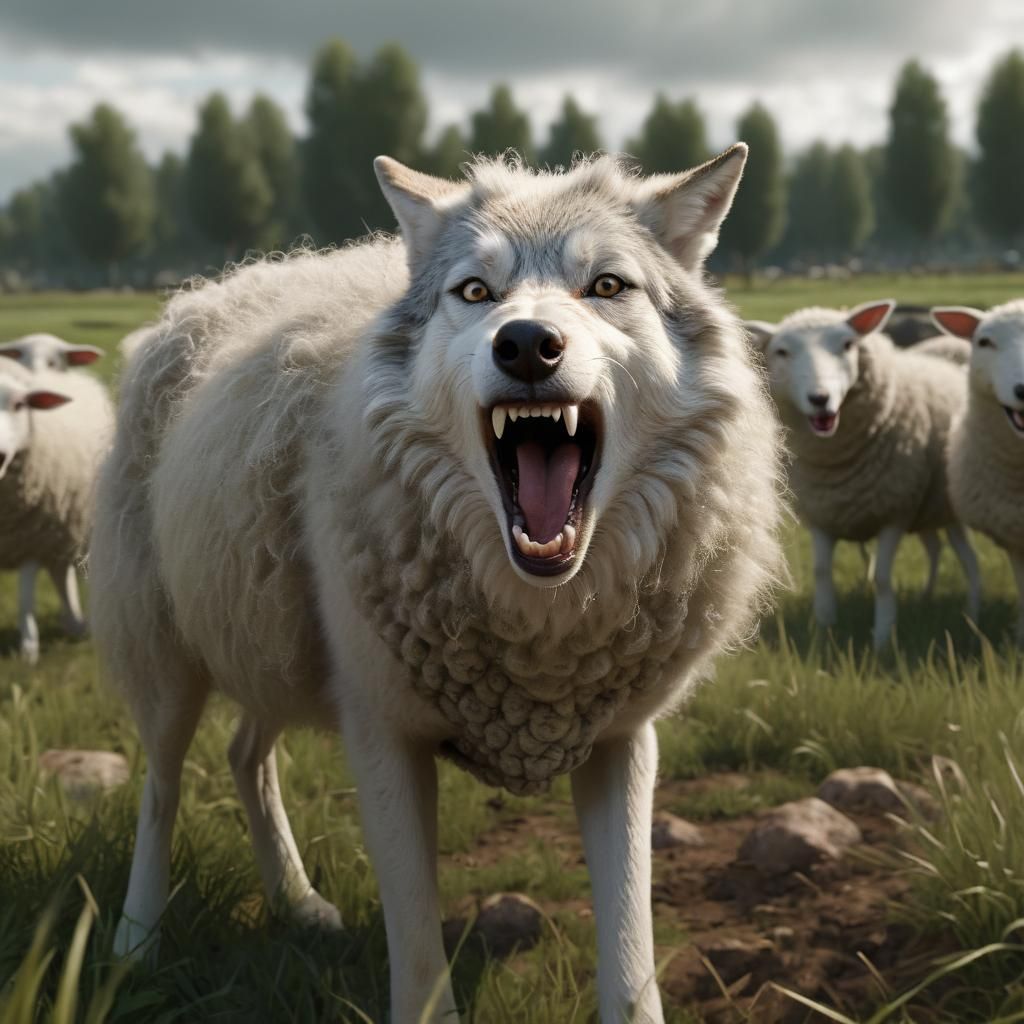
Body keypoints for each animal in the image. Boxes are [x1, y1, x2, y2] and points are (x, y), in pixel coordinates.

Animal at [0, 361, 113, 663]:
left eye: (19, 405)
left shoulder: (30, 538)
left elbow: (26, 597)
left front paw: (28, 649)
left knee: (60, 571)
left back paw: (75, 623)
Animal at [91, 147, 786, 1023]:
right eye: (475, 293)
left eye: (607, 286)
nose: (526, 344)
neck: (539, 626)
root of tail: (208, 292)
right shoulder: (384, 739)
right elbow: (420, 958)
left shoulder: (621, 744)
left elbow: (631, 961)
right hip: (170, 666)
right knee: (162, 788)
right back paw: (134, 943)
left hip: (269, 647)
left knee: (245, 755)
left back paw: (298, 904)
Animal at [747, 300, 980, 650]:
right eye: (782, 352)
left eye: (847, 344)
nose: (820, 399)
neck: (837, 467)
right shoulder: (822, 514)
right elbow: (821, 572)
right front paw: (823, 629)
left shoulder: (894, 511)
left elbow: (882, 580)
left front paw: (883, 637)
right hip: (927, 510)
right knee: (935, 547)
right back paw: (927, 595)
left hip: (946, 507)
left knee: (968, 558)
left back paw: (973, 612)